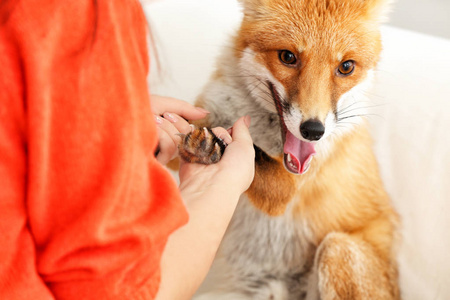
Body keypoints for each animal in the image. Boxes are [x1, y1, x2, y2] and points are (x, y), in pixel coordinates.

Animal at [178, 0, 400, 298]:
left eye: (346, 67)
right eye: (288, 57)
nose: (314, 131)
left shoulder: (288, 189)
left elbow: (254, 156)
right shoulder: (209, 109)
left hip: (335, 248)